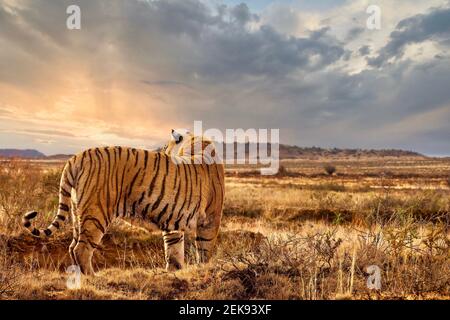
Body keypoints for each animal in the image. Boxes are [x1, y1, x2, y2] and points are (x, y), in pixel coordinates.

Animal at [22, 129, 223, 274]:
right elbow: (204, 249)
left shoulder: (173, 220)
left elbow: (174, 250)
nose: (162, 151)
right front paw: (203, 270)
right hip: (96, 212)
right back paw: (92, 277)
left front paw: (174, 272)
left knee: (72, 247)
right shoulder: (210, 219)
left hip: (76, 211)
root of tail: (76, 157)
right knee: (81, 249)